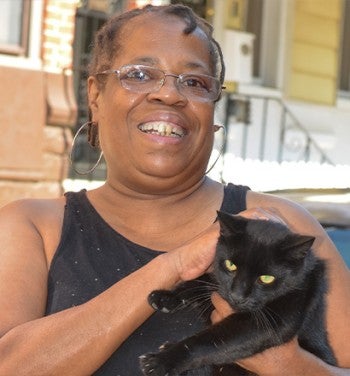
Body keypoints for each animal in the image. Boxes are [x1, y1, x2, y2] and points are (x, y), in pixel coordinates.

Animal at [139, 210, 336, 374]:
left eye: (266, 278)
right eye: (230, 265)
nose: (237, 296)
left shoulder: (271, 321)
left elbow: (210, 340)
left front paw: (161, 361)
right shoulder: (219, 282)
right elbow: (201, 281)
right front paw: (165, 297)